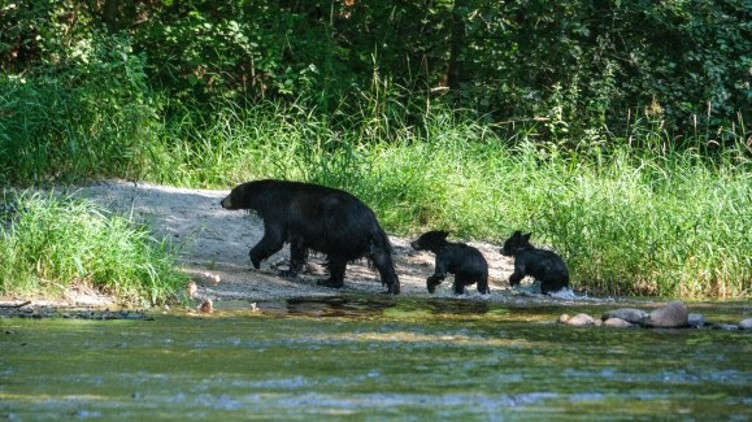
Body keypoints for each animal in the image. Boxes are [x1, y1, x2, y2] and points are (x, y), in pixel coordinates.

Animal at [220, 179, 400, 295]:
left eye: (232, 193)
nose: (222, 201)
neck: (264, 195)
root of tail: (371, 223)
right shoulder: (297, 228)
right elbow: (297, 248)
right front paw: (287, 271)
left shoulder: (277, 210)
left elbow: (274, 237)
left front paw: (255, 259)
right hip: (375, 242)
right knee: (383, 260)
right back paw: (392, 288)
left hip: (340, 234)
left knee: (337, 259)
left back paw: (328, 281)